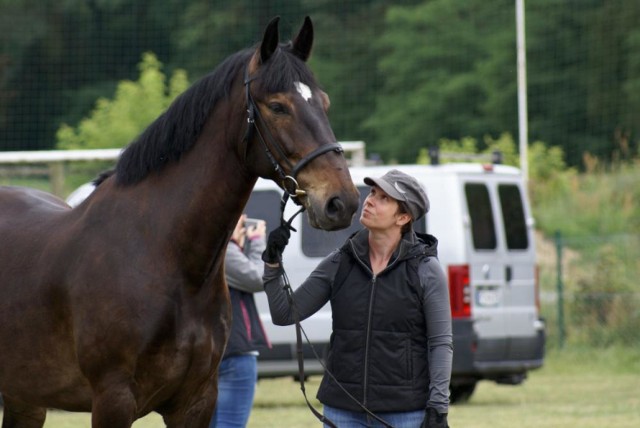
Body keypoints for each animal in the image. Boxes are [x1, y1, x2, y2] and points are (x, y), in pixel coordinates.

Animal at [0, 16, 360, 428]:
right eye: (277, 106)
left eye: (324, 102)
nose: (341, 202)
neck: (160, 254)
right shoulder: (112, 400)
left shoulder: (197, 401)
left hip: (25, 398)